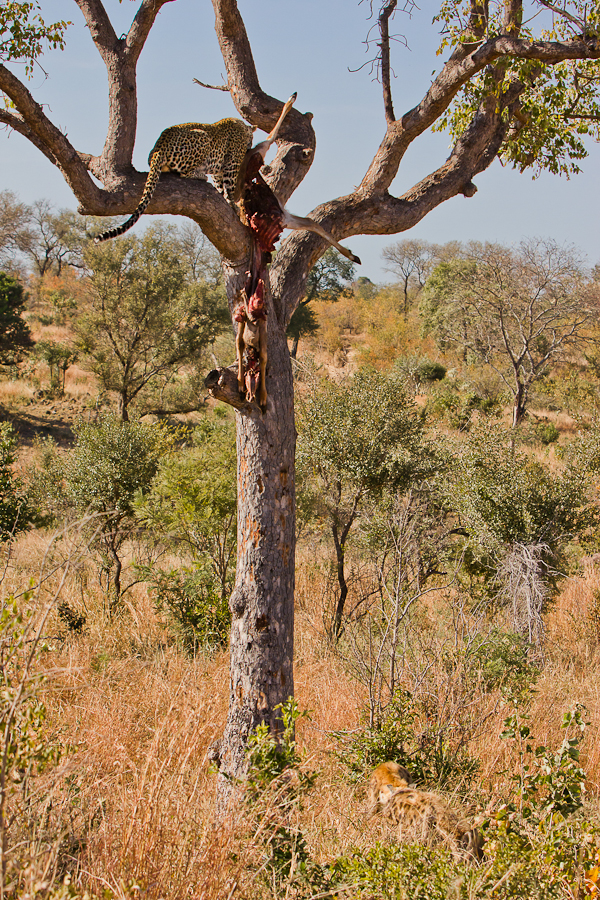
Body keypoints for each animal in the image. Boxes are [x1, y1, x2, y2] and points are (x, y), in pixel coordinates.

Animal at [94, 117, 254, 243]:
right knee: (184, 173)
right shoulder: (232, 162)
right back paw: (201, 175)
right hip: (202, 137)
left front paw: (224, 198)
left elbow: (220, 185)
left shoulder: (218, 171)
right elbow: (230, 186)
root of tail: (160, 144)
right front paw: (233, 205)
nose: (250, 146)